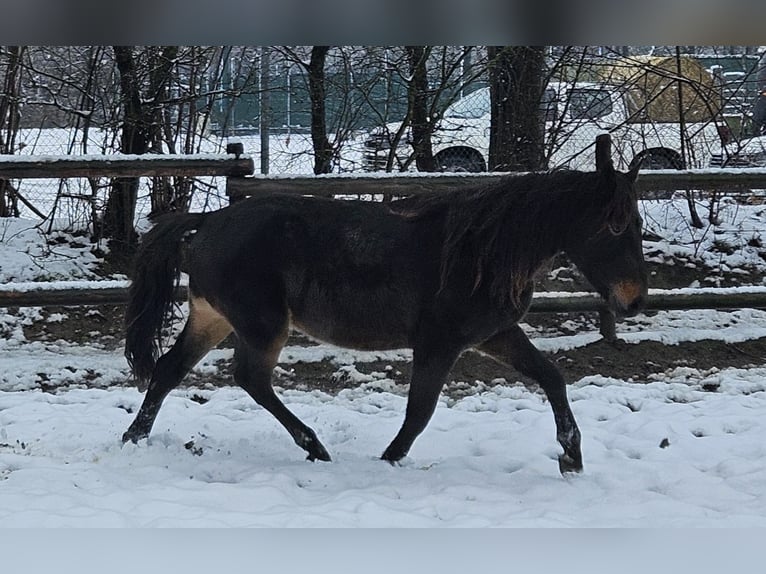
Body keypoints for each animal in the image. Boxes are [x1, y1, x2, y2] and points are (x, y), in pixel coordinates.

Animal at [124, 161, 648, 476]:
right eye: (616, 225)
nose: (635, 301)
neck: (481, 253)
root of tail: (208, 221)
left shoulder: (496, 334)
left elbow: (552, 377)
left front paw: (571, 457)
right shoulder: (439, 343)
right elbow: (420, 412)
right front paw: (389, 459)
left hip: (212, 318)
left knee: (170, 370)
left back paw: (133, 438)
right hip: (261, 324)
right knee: (250, 378)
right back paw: (314, 446)